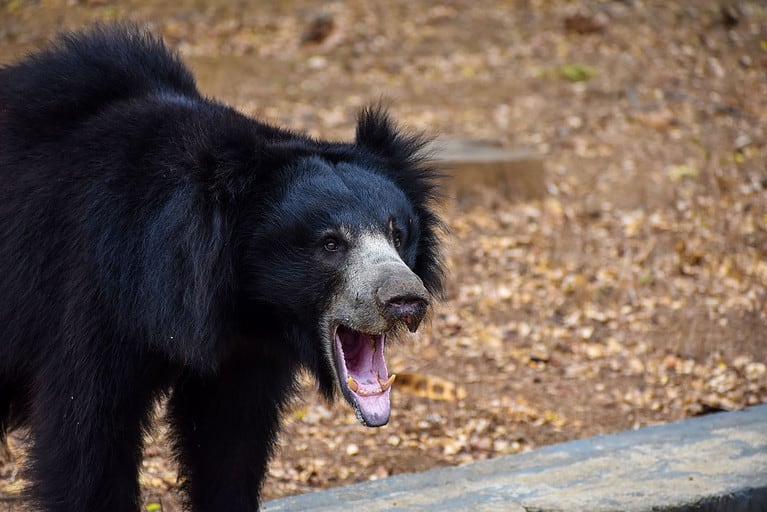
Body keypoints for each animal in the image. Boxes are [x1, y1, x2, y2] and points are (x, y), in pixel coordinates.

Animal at [0, 25, 444, 512]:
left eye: (398, 234)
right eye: (330, 243)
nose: (406, 299)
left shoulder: (244, 354)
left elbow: (230, 443)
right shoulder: (93, 293)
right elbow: (86, 438)